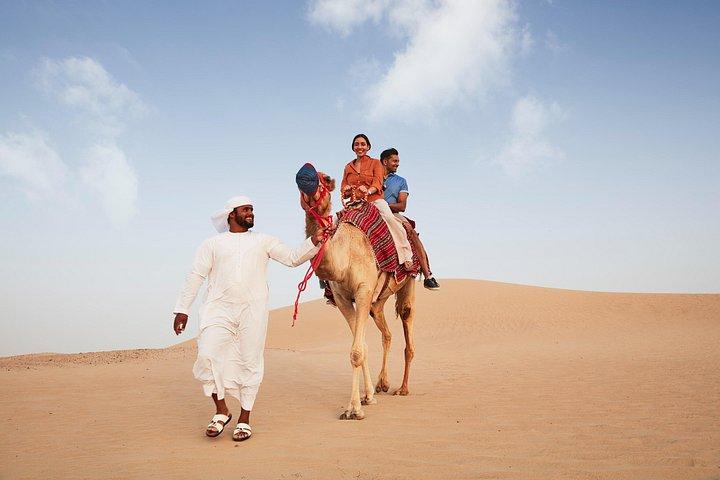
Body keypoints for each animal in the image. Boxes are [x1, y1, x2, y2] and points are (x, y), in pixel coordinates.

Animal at [298, 170, 417, 420]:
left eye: (324, 179)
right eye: (298, 181)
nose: (305, 179)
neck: (345, 256)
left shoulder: (362, 290)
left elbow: (356, 351)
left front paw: (353, 409)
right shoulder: (343, 299)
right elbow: (361, 346)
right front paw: (368, 397)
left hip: (407, 282)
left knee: (407, 317)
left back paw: (403, 388)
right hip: (377, 299)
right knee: (386, 331)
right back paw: (383, 383)